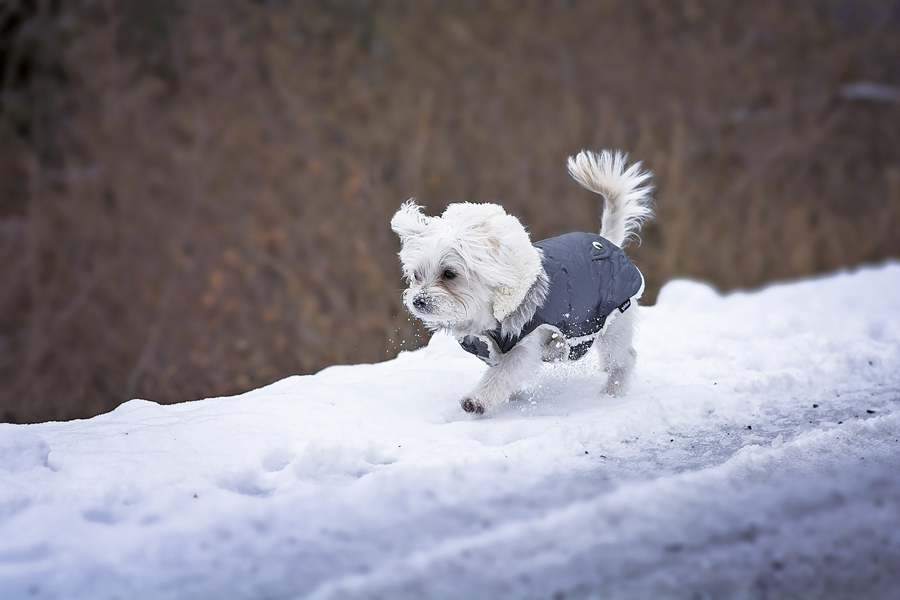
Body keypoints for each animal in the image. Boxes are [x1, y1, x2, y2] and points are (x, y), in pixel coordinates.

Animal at [390, 150, 652, 412]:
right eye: (416, 276)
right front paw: (511, 397)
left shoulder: (524, 345)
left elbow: (502, 374)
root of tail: (608, 243)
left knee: (624, 358)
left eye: (449, 274)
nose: (418, 300)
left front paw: (477, 399)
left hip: (613, 324)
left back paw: (613, 391)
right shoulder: (491, 349)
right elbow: (503, 376)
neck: (486, 314)